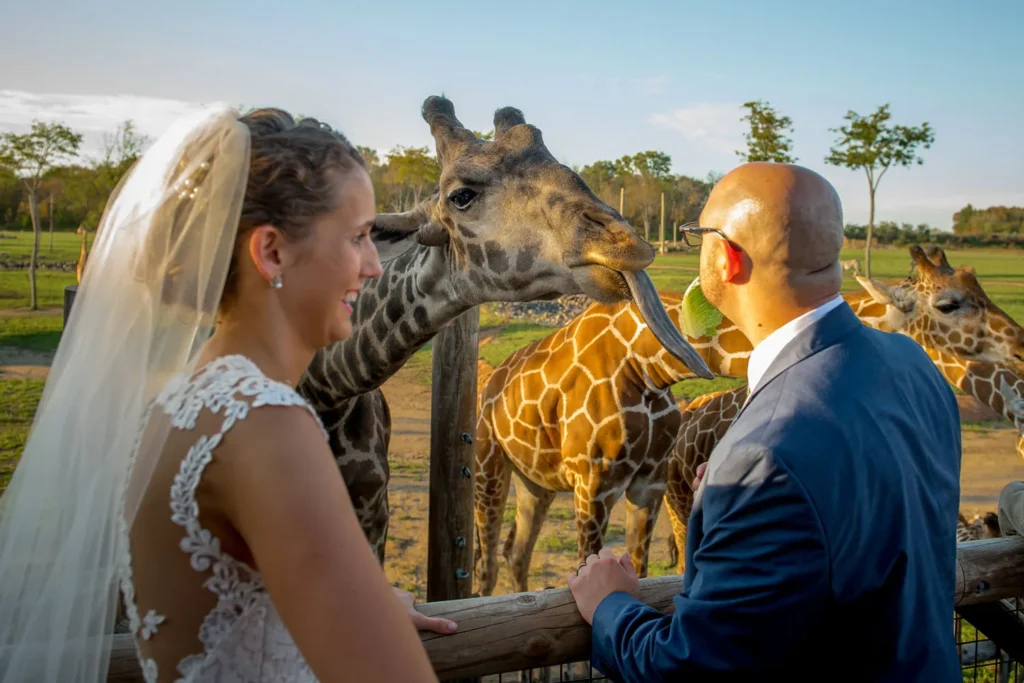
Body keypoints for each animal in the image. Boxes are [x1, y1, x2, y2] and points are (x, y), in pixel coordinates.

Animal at [475, 244, 1024, 593]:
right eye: (950, 303)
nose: (1019, 344)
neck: (647, 363)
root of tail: (491, 378)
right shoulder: (595, 485)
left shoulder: (646, 485)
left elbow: (642, 572)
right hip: (489, 466)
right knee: (486, 565)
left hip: (538, 482)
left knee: (515, 555)